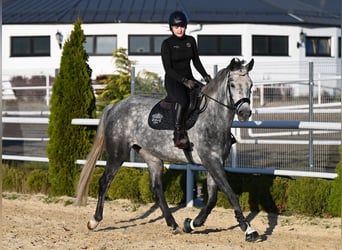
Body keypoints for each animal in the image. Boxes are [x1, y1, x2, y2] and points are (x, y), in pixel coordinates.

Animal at [77, 57, 260, 241]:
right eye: (232, 84)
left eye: (250, 84)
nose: (244, 113)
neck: (212, 117)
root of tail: (115, 106)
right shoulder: (211, 161)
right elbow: (230, 194)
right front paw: (248, 230)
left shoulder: (215, 162)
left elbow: (212, 199)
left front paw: (191, 224)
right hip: (118, 154)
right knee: (104, 182)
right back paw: (94, 221)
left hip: (152, 157)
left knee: (156, 189)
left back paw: (174, 225)